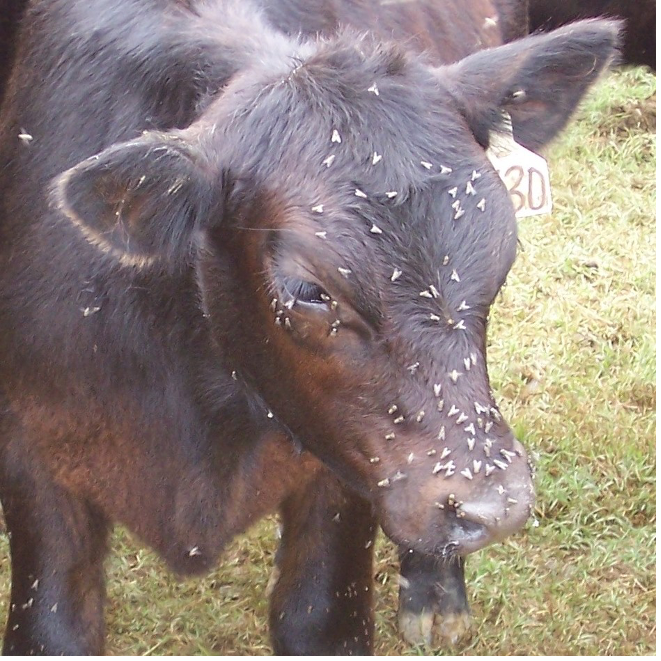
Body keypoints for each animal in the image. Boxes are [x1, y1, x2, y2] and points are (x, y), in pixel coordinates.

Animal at [0, 0, 620, 656]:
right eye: (308, 290)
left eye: (503, 252)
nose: (497, 506)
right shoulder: (32, 442)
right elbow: (53, 625)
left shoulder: (345, 464)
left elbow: (319, 615)